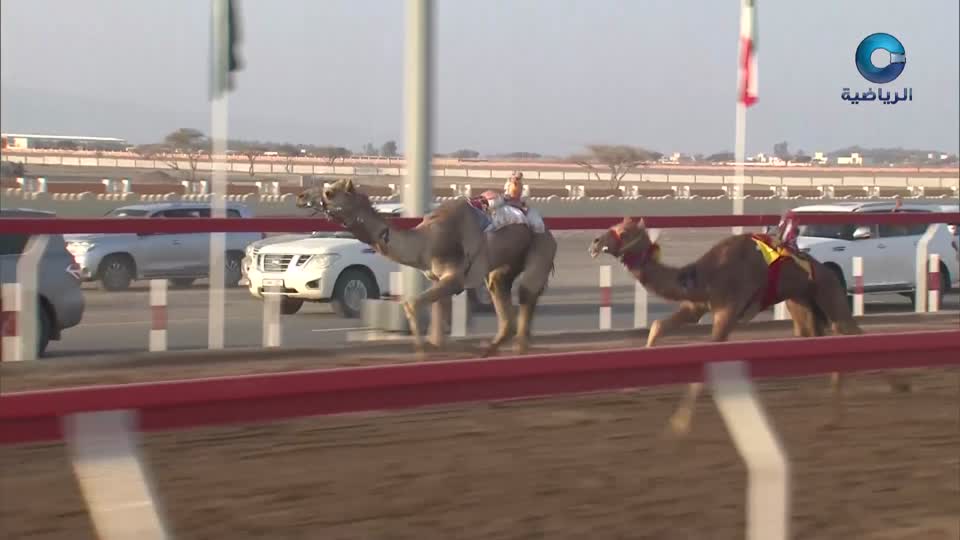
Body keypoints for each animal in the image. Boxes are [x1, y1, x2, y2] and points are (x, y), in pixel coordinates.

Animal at [296, 178, 560, 358]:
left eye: (329, 192)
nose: (300, 196)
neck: (425, 242)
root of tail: (547, 229)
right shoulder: (438, 278)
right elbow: (438, 316)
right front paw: (435, 347)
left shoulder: (454, 277)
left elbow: (410, 303)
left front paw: (421, 351)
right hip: (503, 268)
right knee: (503, 300)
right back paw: (491, 352)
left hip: (541, 247)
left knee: (526, 292)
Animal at [588, 217, 912, 432]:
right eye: (616, 223)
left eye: (623, 230)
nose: (595, 242)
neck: (703, 275)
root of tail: (825, 272)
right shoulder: (697, 306)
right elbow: (657, 326)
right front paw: (631, 387)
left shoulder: (727, 312)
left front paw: (679, 423)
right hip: (801, 305)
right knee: (823, 342)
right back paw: (833, 417)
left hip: (829, 297)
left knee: (850, 331)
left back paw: (899, 387)